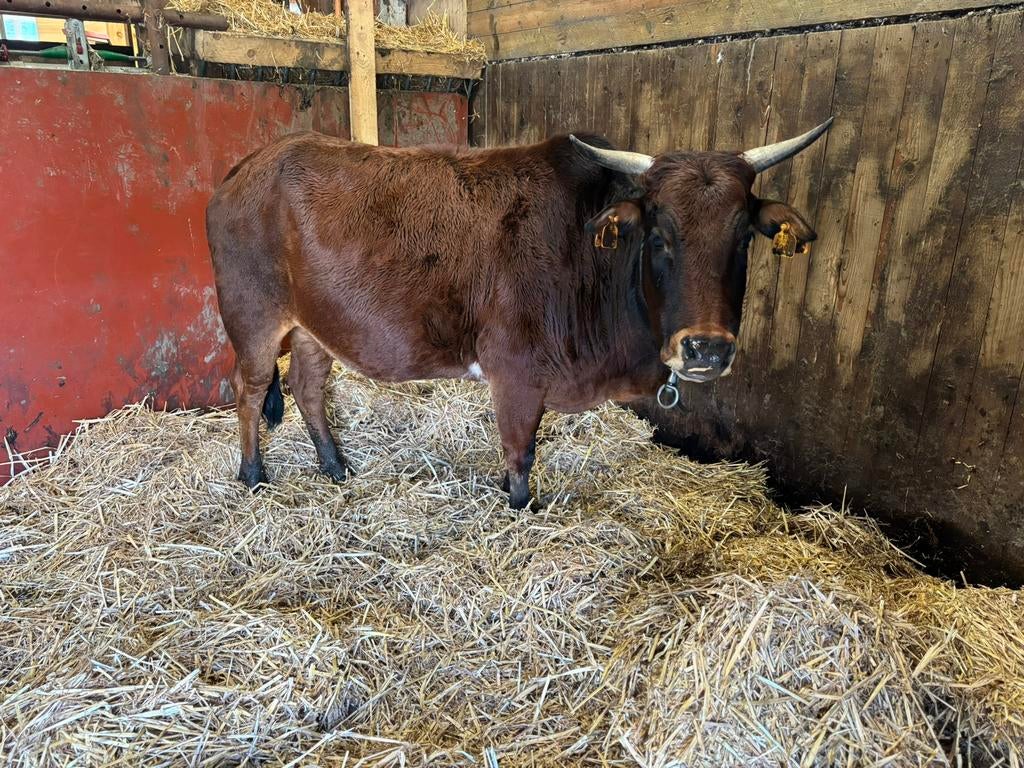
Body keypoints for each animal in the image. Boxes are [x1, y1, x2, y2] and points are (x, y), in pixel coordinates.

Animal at [206, 119, 832, 509]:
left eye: (743, 236)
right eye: (659, 234)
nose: (706, 348)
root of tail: (250, 165)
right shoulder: (516, 373)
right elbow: (520, 454)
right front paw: (521, 508)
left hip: (315, 325)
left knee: (308, 388)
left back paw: (335, 467)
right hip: (253, 316)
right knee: (249, 389)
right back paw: (254, 476)